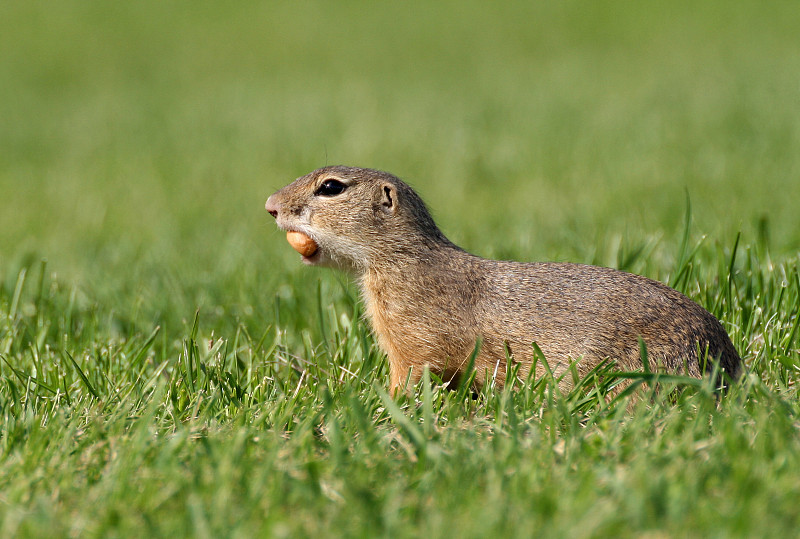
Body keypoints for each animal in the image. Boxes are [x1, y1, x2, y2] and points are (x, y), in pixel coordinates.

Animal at [264, 165, 744, 392]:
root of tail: (727, 364)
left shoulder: (414, 337)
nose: (270, 205)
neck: (401, 261)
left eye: (331, 187)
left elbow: (412, 373)